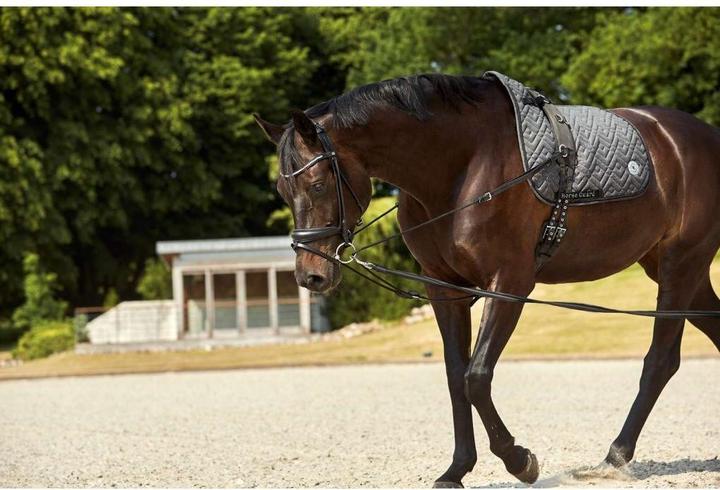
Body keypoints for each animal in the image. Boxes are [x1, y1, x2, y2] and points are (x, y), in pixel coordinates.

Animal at [254, 73, 720, 487]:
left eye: (317, 185)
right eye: (281, 190)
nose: (310, 274)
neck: (462, 166)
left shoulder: (509, 283)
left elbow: (475, 378)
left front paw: (520, 460)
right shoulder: (445, 289)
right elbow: (455, 377)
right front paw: (456, 470)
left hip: (681, 265)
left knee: (659, 362)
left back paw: (615, 456)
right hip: (677, 270)